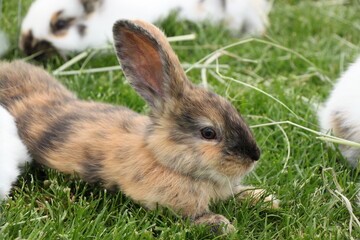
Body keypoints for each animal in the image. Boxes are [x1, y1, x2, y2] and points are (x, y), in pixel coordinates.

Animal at [0, 19, 278, 233]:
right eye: (208, 133)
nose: (254, 157)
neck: (161, 157)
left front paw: (266, 200)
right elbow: (192, 217)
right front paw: (220, 224)